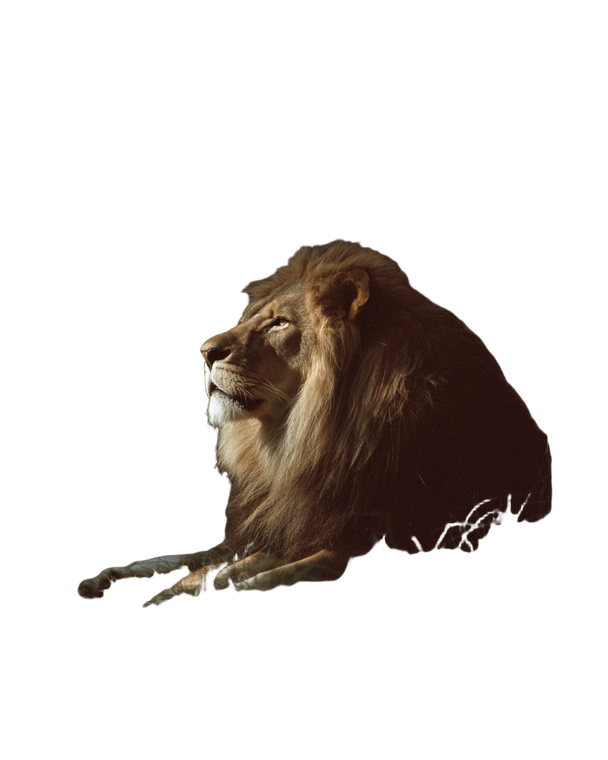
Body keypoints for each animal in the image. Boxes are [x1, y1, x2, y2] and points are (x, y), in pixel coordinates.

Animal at [77, 239, 552, 606]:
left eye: (279, 323)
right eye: (255, 318)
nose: (205, 353)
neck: (296, 442)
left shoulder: (385, 527)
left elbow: (312, 561)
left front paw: (241, 580)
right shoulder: (280, 517)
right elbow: (183, 559)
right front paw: (118, 581)